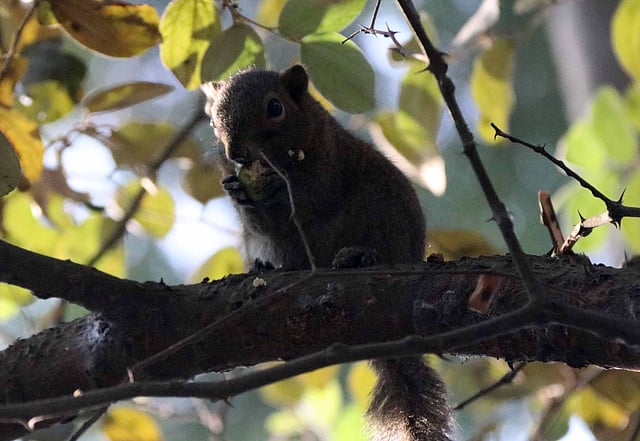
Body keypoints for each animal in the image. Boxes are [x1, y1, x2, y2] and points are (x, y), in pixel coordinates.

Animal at [202, 65, 453, 441]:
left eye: (275, 107)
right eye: (213, 119)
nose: (237, 154)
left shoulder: (330, 164)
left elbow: (314, 197)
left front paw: (277, 187)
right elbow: (264, 225)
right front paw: (238, 190)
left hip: (386, 213)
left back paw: (359, 256)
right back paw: (268, 266)